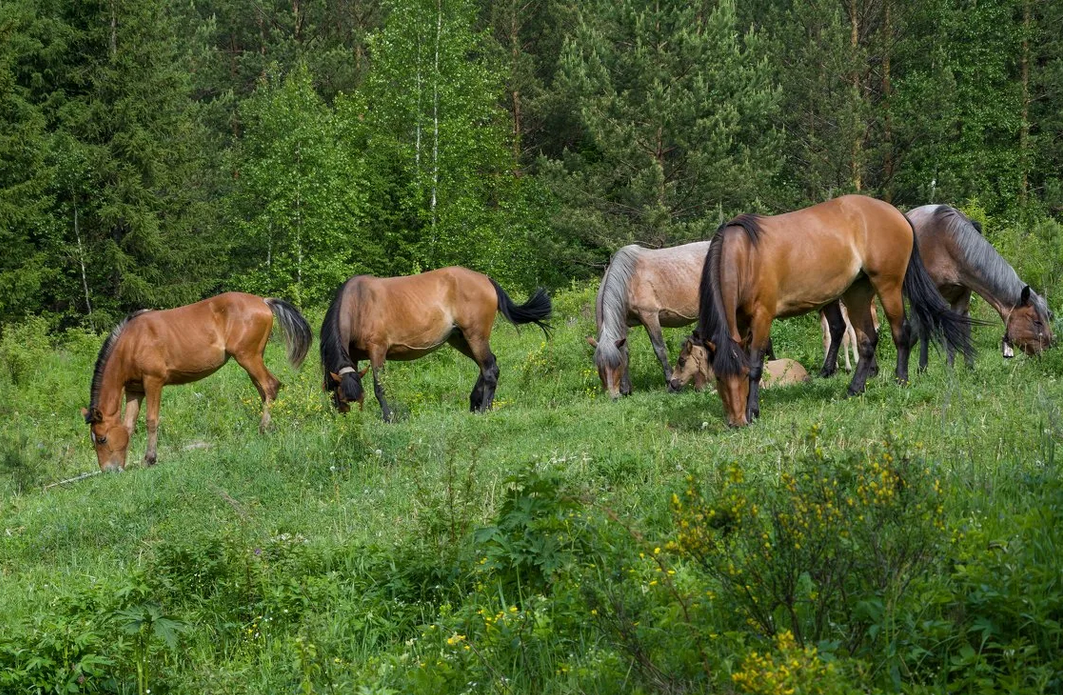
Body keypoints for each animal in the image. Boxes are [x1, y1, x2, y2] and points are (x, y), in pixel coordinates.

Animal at [81, 294, 311, 473]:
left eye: (101, 439)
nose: (109, 470)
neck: (132, 342)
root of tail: (263, 301)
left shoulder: (153, 382)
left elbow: (151, 420)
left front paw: (150, 459)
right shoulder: (134, 390)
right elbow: (128, 426)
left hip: (248, 357)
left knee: (270, 386)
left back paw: (263, 428)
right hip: (252, 359)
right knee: (264, 391)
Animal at [319, 264, 554, 417]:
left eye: (358, 400)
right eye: (343, 399)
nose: (353, 424)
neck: (359, 304)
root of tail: (486, 280)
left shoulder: (377, 350)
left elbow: (380, 386)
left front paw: (388, 417)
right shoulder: (353, 356)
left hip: (475, 336)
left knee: (490, 369)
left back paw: (483, 410)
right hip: (460, 340)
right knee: (488, 364)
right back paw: (474, 403)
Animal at [699, 192, 976, 426]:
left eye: (743, 374)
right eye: (719, 377)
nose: (736, 422)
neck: (745, 254)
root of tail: (897, 214)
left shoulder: (762, 317)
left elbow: (757, 363)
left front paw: (753, 410)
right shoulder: (740, 321)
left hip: (888, 285)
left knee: (901, 333)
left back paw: (901, 380)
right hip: (857, 292)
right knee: (867, 341)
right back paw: (855, 388)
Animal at [903, 203, 1053, 366]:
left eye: (1047, 316)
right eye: (1037, 322)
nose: (1049, 348)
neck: (946, 242)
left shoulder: (961, 297)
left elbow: (957, 331)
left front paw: (960, 368)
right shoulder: (924, 299)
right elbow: (925, 331)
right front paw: (923, 368)